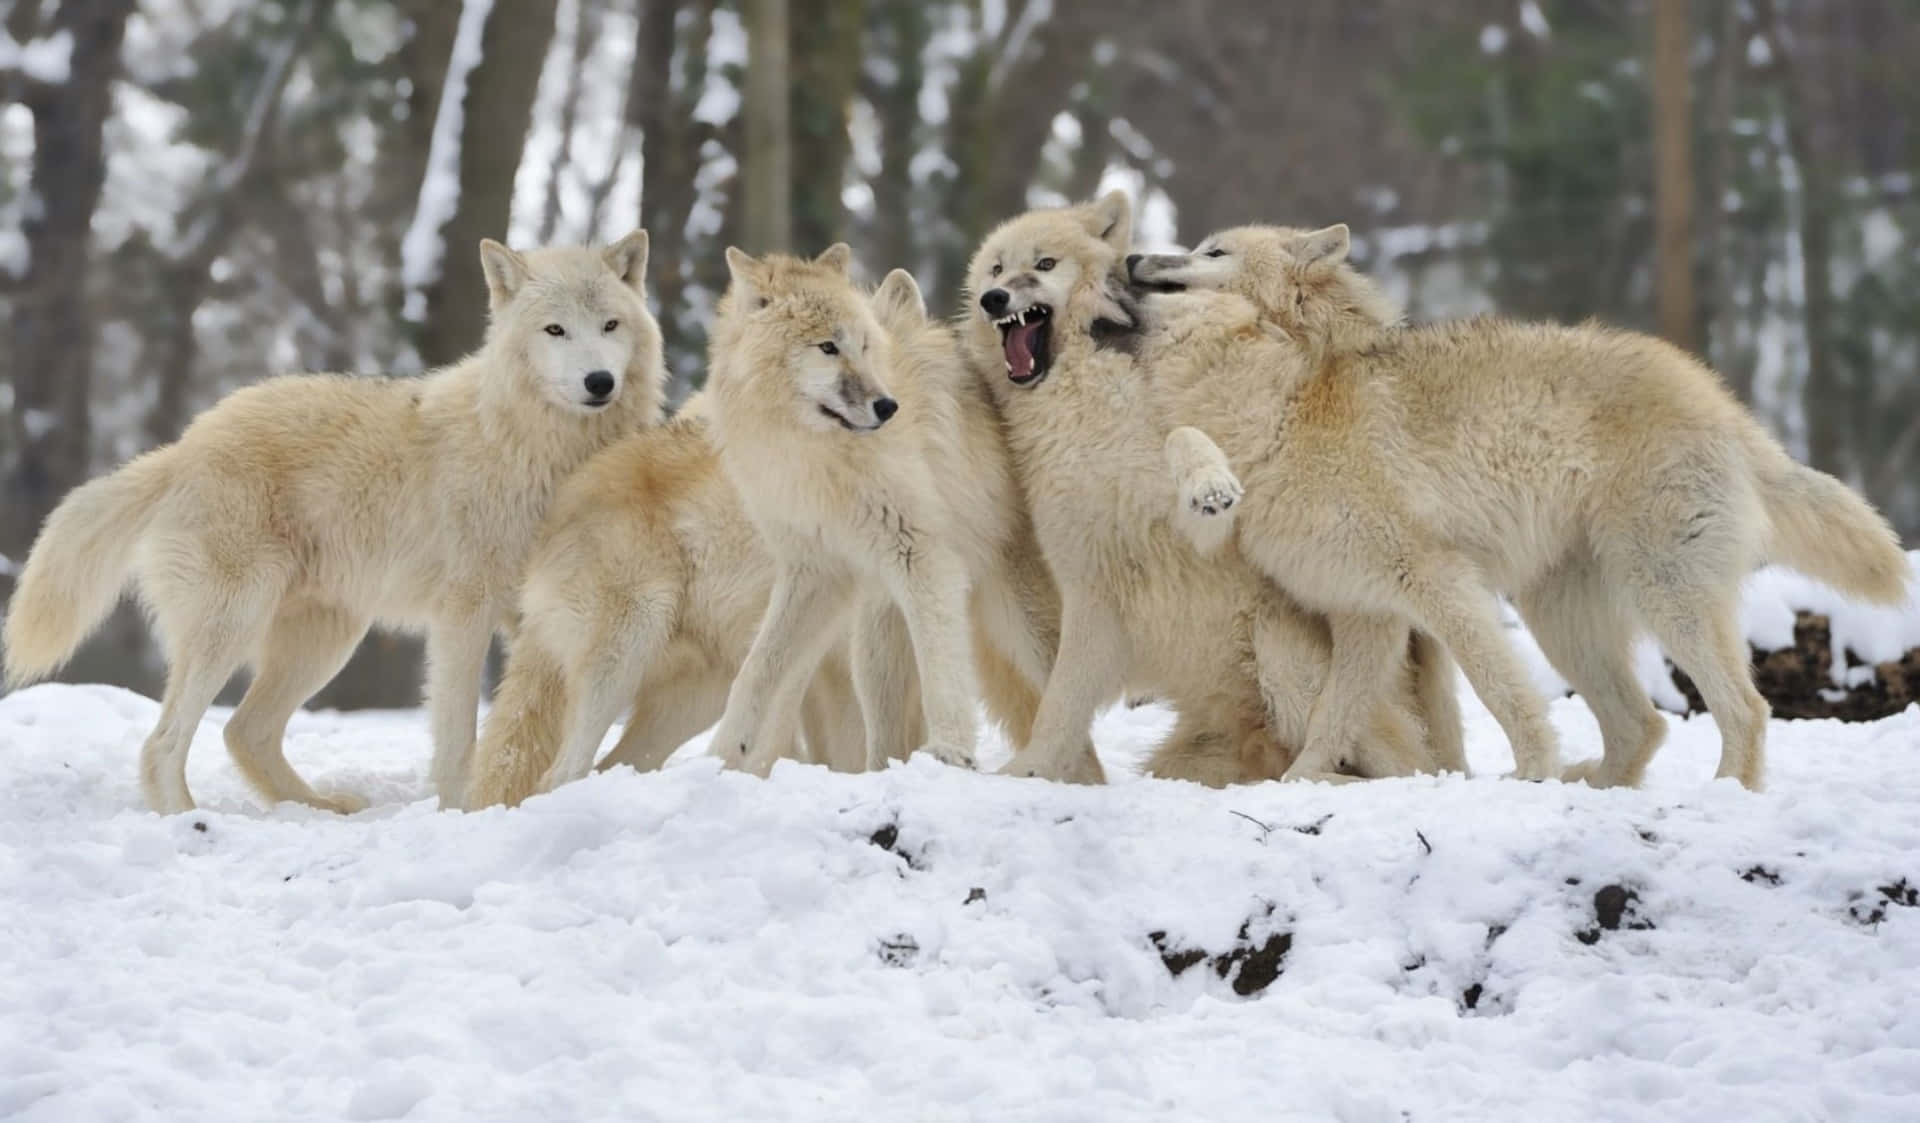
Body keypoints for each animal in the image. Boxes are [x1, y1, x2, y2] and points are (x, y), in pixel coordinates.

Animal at [3, 233, 664, 813]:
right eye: (555, 330)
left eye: (610, 326)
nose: (599, 382)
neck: (537, 448)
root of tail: (182, 447)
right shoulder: (465, 612)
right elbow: (459, 737)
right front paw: (460, 811)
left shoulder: (540, 615)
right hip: (235, 625)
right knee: (162, 743)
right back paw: (187, 821)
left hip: (325, 641)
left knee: (243, 731)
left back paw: (317, 809)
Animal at [703, 247, 1101, 782]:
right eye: (828, 347)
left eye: (865, 345)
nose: (887, 406)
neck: (812, 452)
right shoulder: (815, 571)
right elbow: (756, 670)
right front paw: (722, 755)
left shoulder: (921, 556)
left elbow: (943, 671)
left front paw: (952, 752)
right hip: (874, 642)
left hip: (1029, 627)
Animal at [961, 193, 1464, 785]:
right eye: (995, 269)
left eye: (1044, 264)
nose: (994, 299)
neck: (1082, 401)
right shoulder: (1090, 585)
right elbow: (1058, 709)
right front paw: (1028, 772)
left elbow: (1182, 438)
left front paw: (1210, 484)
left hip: (1280, 650)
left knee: (1395, 765)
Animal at [1129, 223, 1910, 790]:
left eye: (1211, 251)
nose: (1134, 256)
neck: (1288, 407)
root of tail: (1729, 408)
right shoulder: (1366, 615)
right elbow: (1330, 719)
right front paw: (1296, 786)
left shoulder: (1437, 583)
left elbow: (1499, 691)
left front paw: (1531, 770)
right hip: (1561, 618)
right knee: (1643, 725)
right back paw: (1595, 789)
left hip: (1663, 597)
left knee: (1745, 709)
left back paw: (1720, 797)